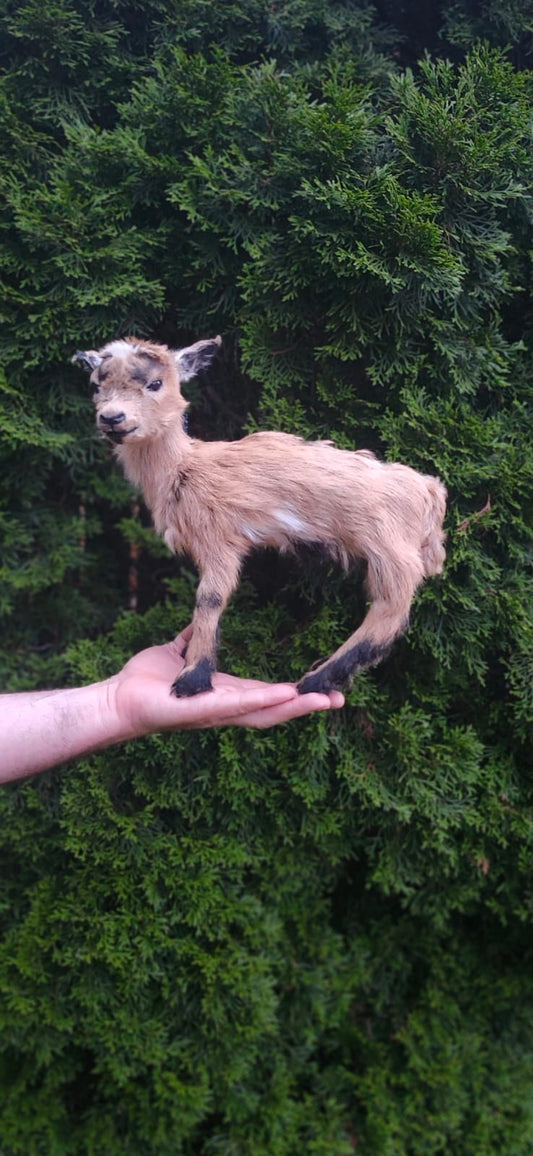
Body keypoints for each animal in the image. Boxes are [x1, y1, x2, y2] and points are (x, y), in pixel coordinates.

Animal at [72, 336, 447, 698]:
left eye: (155, 383)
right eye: (96, 385)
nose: (112, 418)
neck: (184, 468)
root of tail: (430, 493)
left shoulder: (218, 536)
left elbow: (210, 598)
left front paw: (193, 678)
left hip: (390, 549)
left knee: (390, 609)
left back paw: (317, 679)